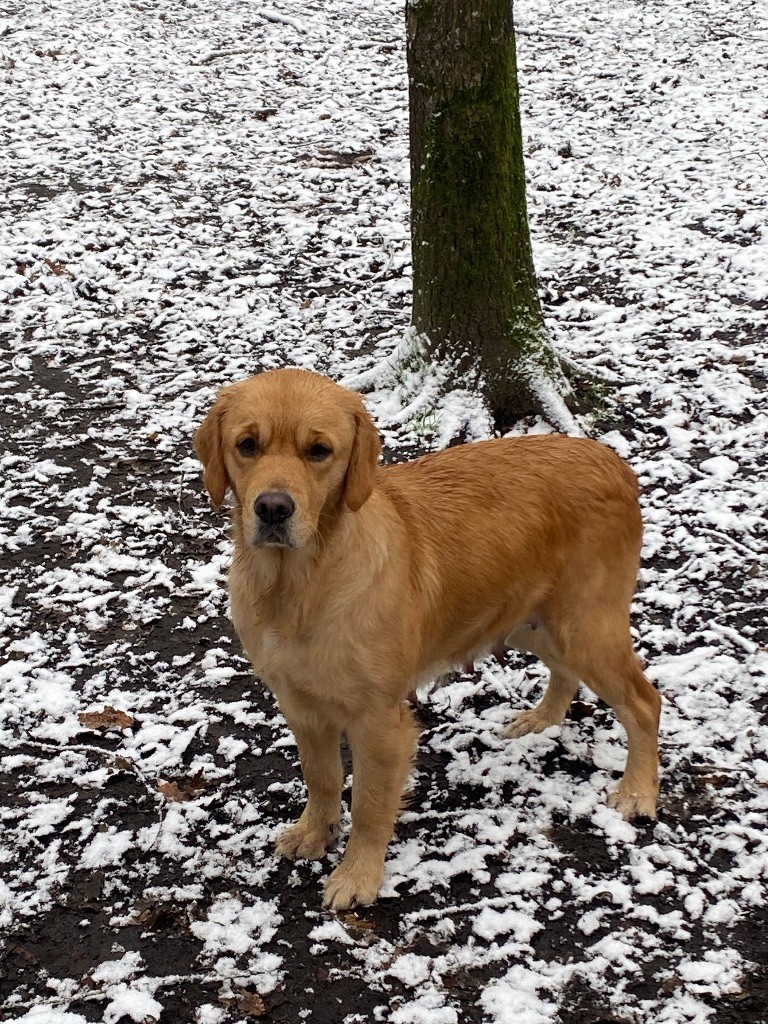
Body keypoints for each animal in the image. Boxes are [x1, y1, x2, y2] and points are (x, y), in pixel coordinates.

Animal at [192, 368, 663, 913]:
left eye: (319, 451)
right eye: (247, 445)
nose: (272, 509)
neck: (298, 587)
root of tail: (612, 460)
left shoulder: (379, 721)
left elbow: (370, 805)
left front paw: (357, 876)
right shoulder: (301, 705)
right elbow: (322, 778)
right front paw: (315, 832)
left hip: (586, 625)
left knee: (645, 703)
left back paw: (638, 793)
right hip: (535, 622)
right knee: (566, 673)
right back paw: (542, 720)